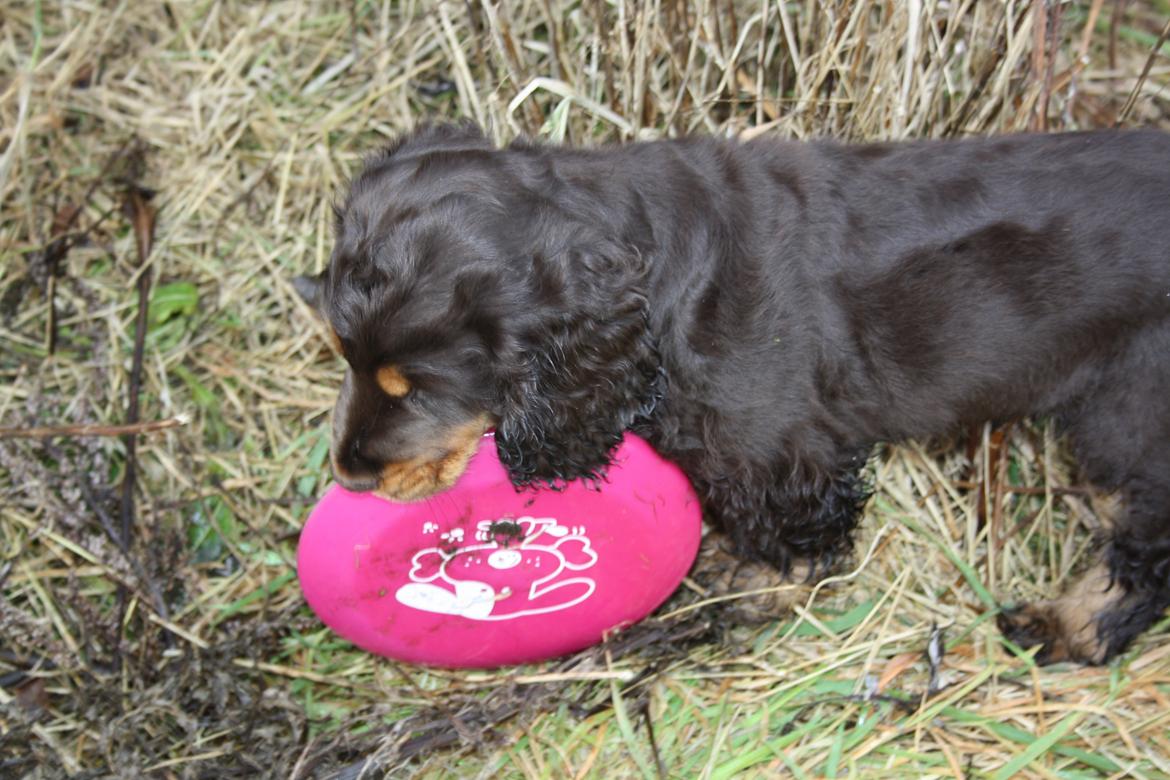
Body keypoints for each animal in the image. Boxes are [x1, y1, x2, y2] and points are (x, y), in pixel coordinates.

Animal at [297, 122, 1170, 664]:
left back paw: (1070, 629)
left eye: (416, 388)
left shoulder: (776, 447)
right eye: (342, 355)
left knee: (1147, 541)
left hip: (1130, 412)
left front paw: (753, 582)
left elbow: (793, 526)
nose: (350, 476)